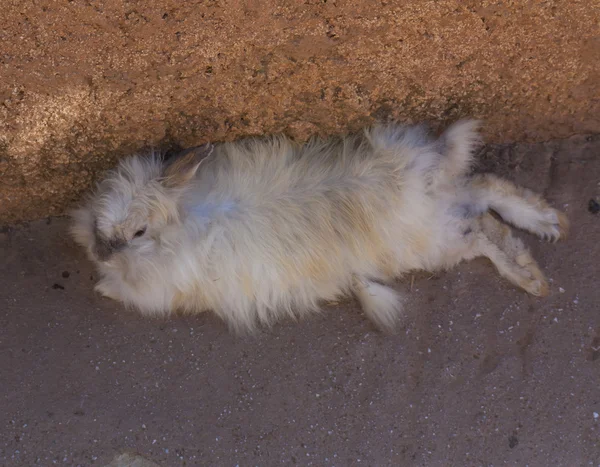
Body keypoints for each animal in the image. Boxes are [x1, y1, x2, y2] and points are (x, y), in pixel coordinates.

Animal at [70, 119, 568, 332]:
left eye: (137, 233)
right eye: (99, 220)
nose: (98, 252)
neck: (181, 227)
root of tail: (427, 182)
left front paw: (102, 288)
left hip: (438, 240)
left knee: (484, 229)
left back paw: (531, 272)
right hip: (447, 214)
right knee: (486, 197)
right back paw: (548, 228)